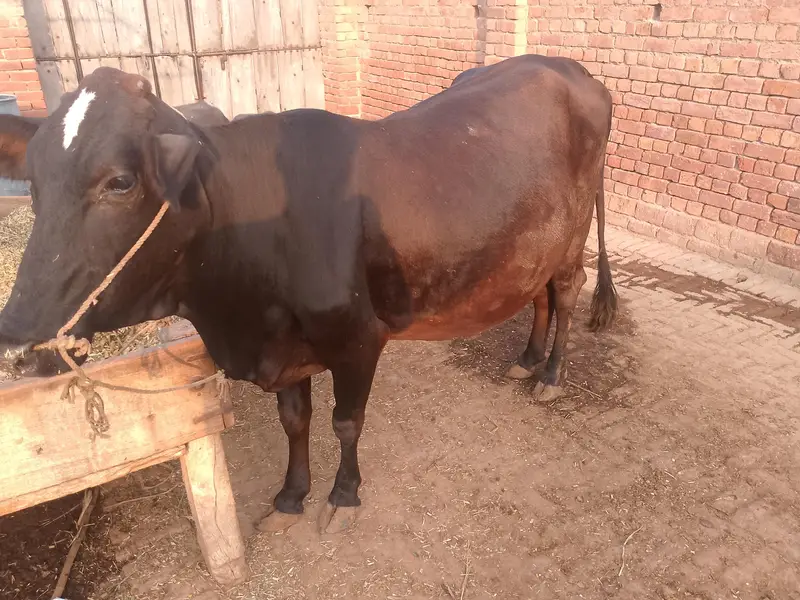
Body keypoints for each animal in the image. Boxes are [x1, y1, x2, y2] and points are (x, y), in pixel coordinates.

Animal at [0, 54, 617, 533]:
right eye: (33, 180)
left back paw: (551, 375)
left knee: (568, 292)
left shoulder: (357, 339)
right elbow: (294, 422)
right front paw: (290, 497)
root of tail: (574, 70)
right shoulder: (283, 346)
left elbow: (346, 422)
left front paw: (343, 496)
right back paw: (527, 359)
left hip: (573, 234)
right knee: (540, 294)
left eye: (121, 182)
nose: (17, 341)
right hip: (532, 241)